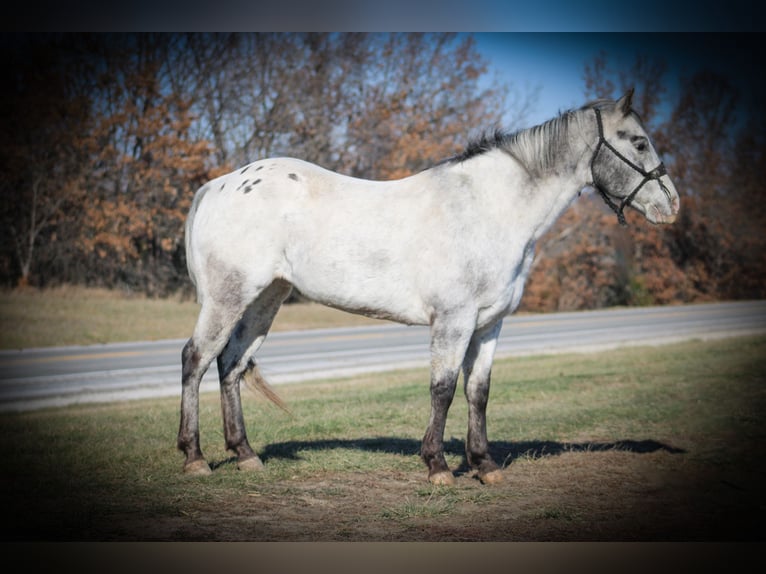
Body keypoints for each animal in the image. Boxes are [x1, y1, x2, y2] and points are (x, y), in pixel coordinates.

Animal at [182, 90, 684, 486]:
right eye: (639, 141)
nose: (672, 205)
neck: (489, 207)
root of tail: (219, 185)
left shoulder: (489, 324)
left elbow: (478, 391)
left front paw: (484, 466)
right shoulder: (453, 320)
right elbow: (442, 388)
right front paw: (438, 467)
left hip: (266, 298)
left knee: (230, 364)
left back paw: (245, 456)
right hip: (230, 296)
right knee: (197, 358)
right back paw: (194, 458)